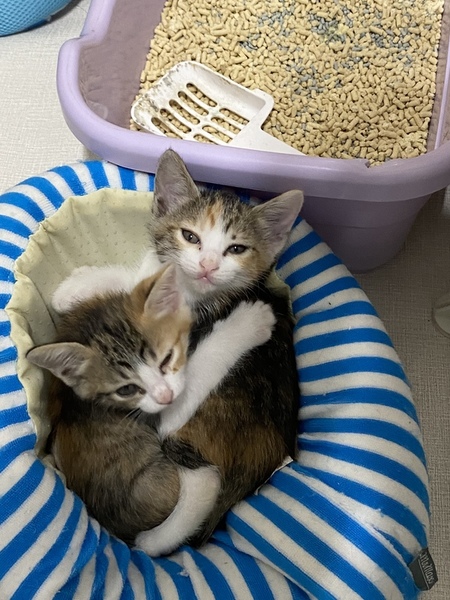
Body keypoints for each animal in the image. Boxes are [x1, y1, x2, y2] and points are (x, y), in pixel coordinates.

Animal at [27, 263, 276, 555]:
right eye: (126, 390)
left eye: (167, 358)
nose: (165, 395)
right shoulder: (160, 414)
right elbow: (199, 371)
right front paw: (250, 322)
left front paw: (75, 286)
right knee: (203, 484)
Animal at [52, 149, 304, 551]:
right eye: (190, 237)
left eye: (236, 249)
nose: (208, 266)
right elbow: (137, 286)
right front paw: (76, 287)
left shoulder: (172, 397)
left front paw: (250, 320)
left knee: (202, 482)